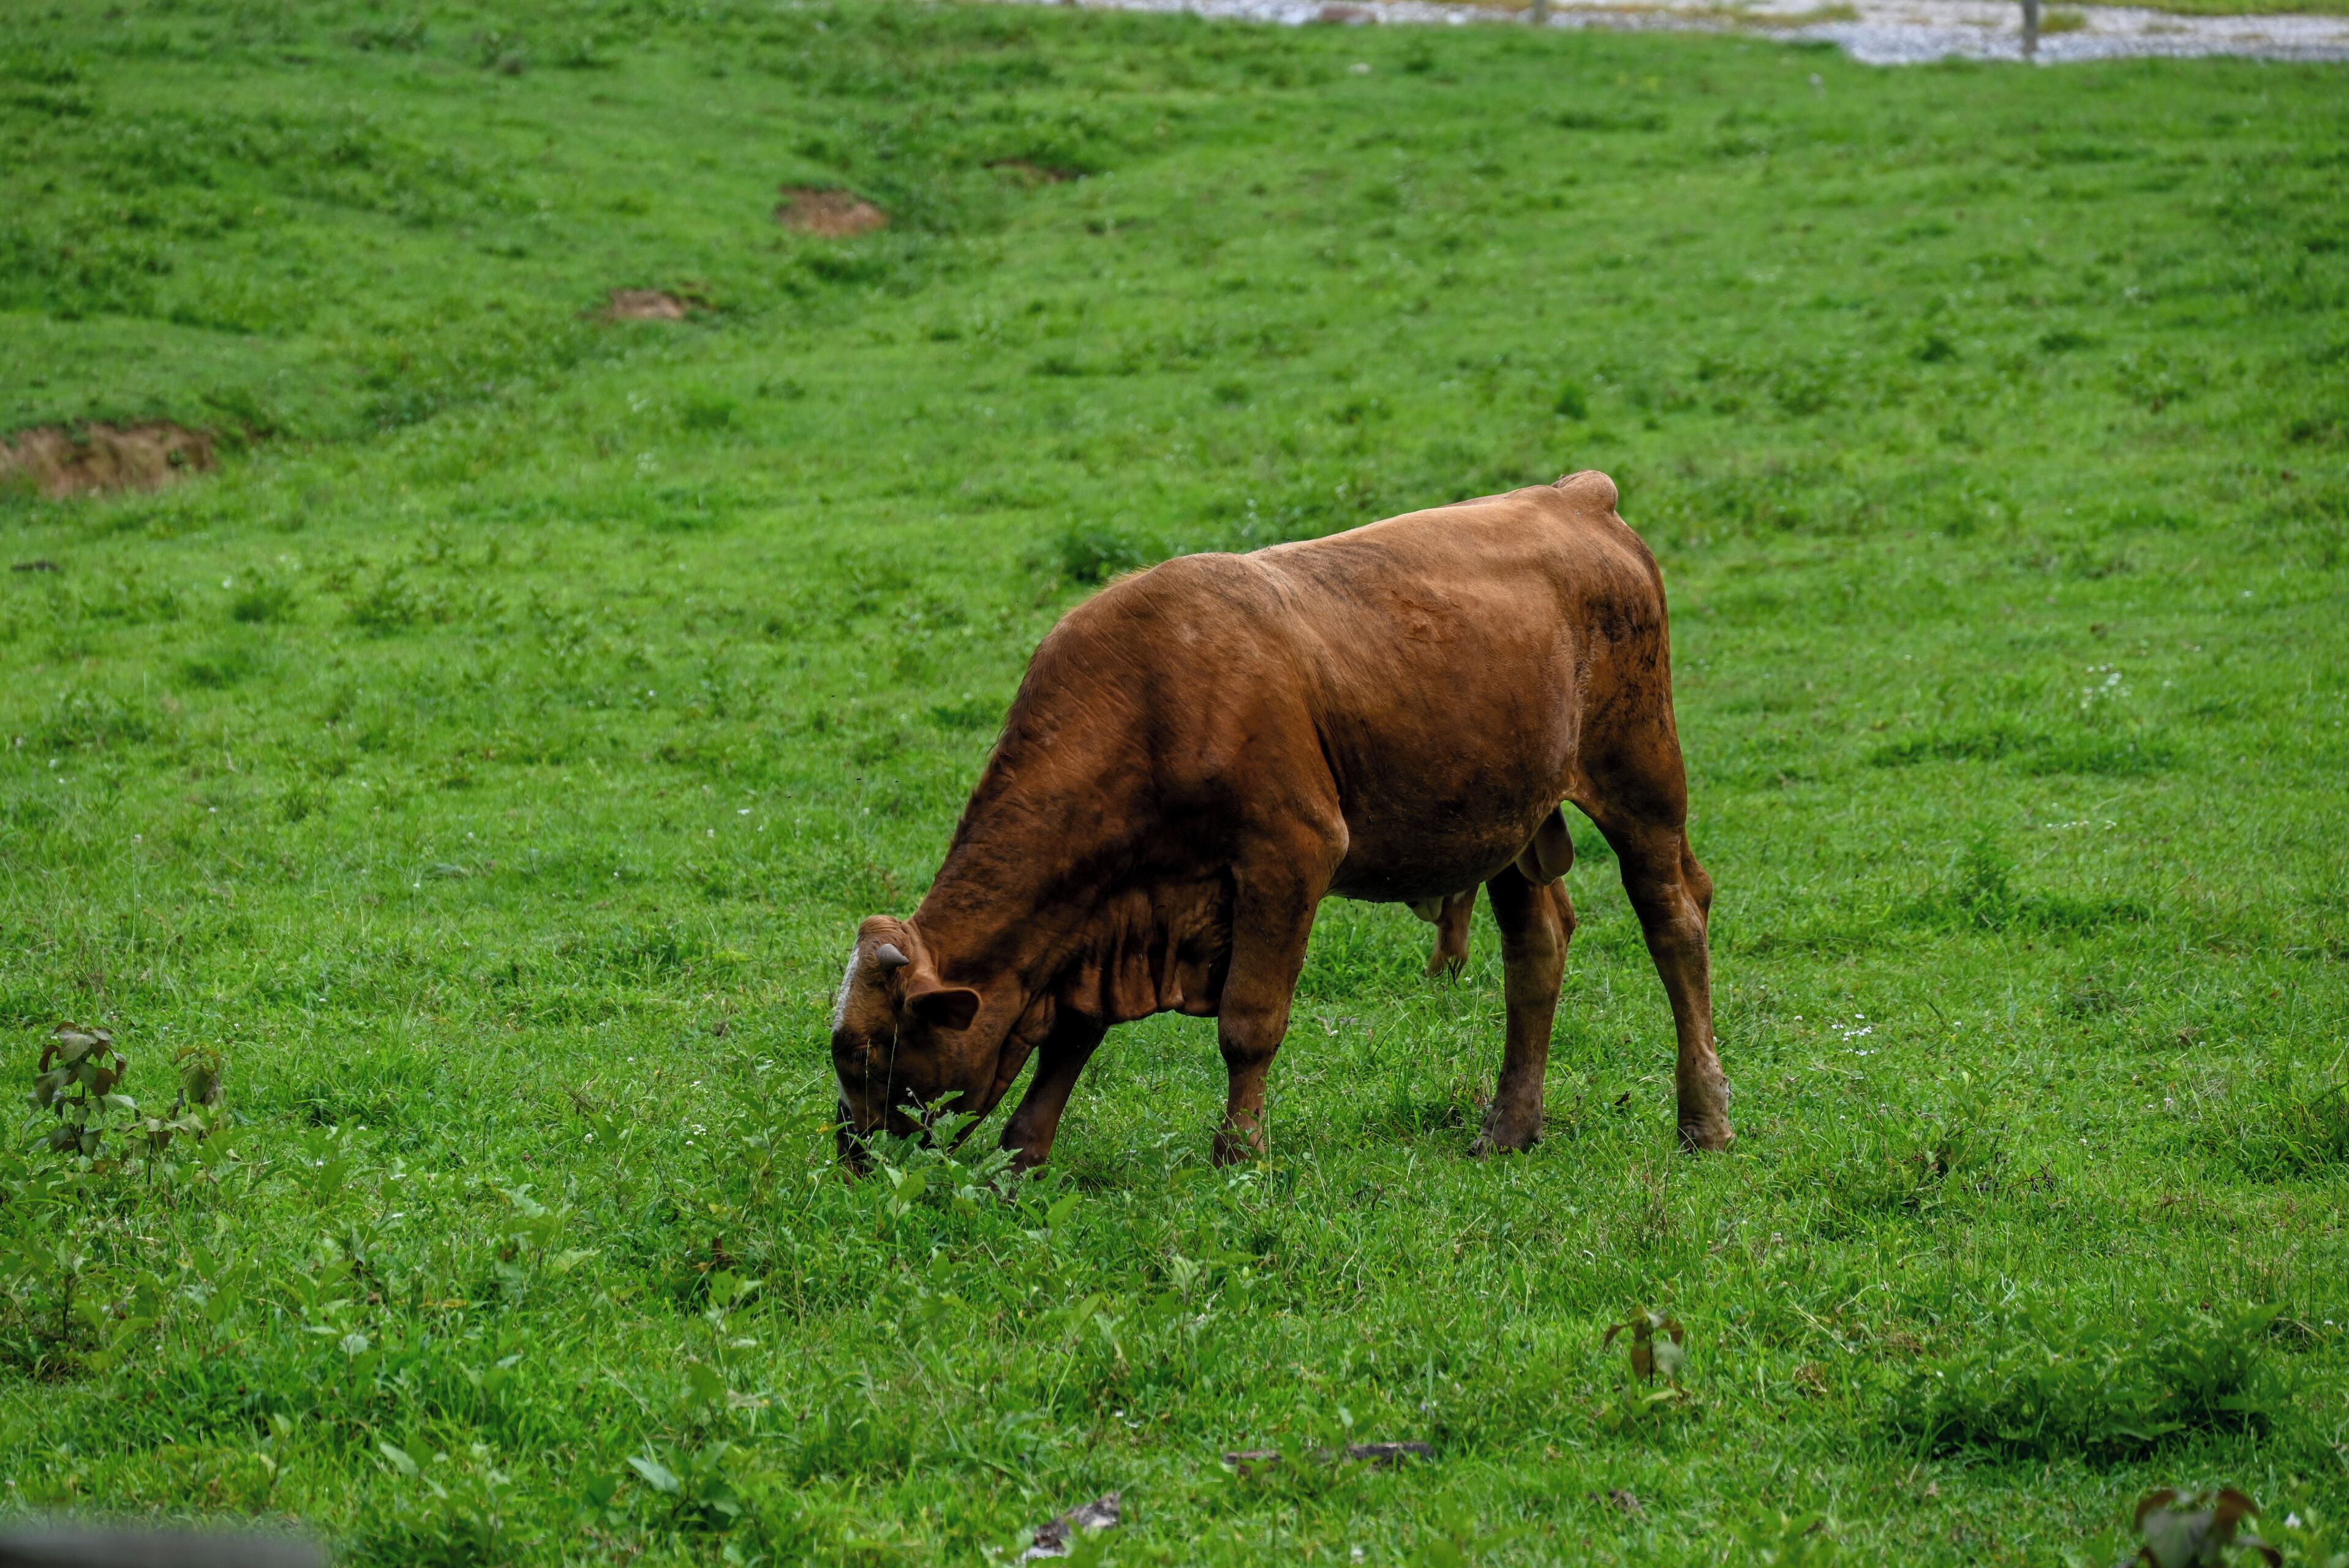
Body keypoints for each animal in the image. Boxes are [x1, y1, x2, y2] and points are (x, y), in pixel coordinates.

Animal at [830, 469, 1731, 1171]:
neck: (1151, 695)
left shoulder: (1288, 855)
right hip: (1512, 820)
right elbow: (1073, 1035)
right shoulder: (1106, 920)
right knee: (1536, 948)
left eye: (868, 1050)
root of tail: (1575, 495)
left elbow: (1248, 1024)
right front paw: (1022, 1156)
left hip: (1640, 774)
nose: (851, 1158)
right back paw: (1509, 1127)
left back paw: (1703, 1119)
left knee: (1673, 916)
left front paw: (1239, 1153)